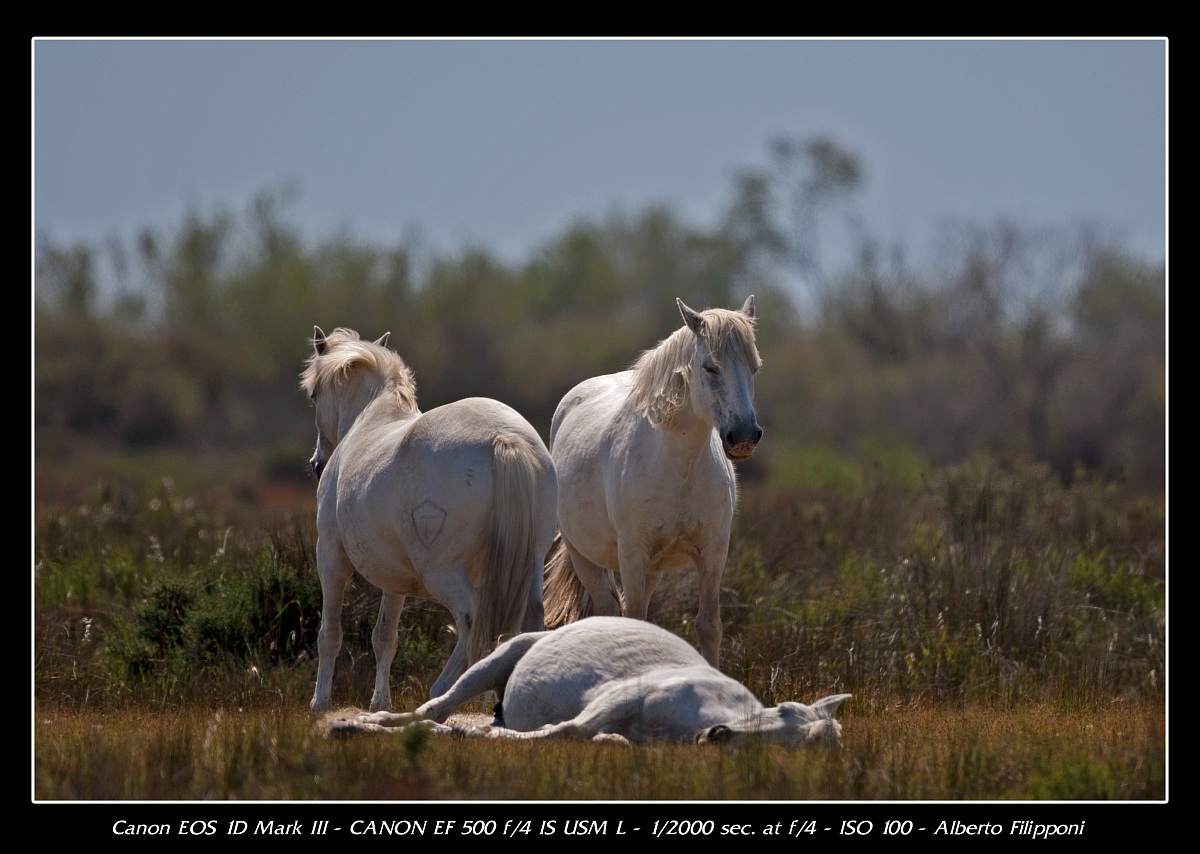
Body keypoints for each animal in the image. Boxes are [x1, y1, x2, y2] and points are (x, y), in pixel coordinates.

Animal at [300, 326, 559, 713]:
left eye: (314, 394)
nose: (318, 464)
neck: (371, 418)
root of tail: (504, 437)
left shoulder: (330, 555)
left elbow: (329, 634)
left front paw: (320, 703)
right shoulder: (394, 577)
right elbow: (384, 637)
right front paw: (380, 703)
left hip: (442, 572)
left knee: (472, 620)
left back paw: (441, 694)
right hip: (528, 565)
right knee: (526, 619)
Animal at [542, 296, 762, 668]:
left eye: (754, 368)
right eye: (710, 368)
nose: (744, 436)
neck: (680, 466)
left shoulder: (714, 551)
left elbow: (709, 626)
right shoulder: (633, 552)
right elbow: (634, 619)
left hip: (652, 569)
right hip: (582, 554)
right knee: (608, 609)